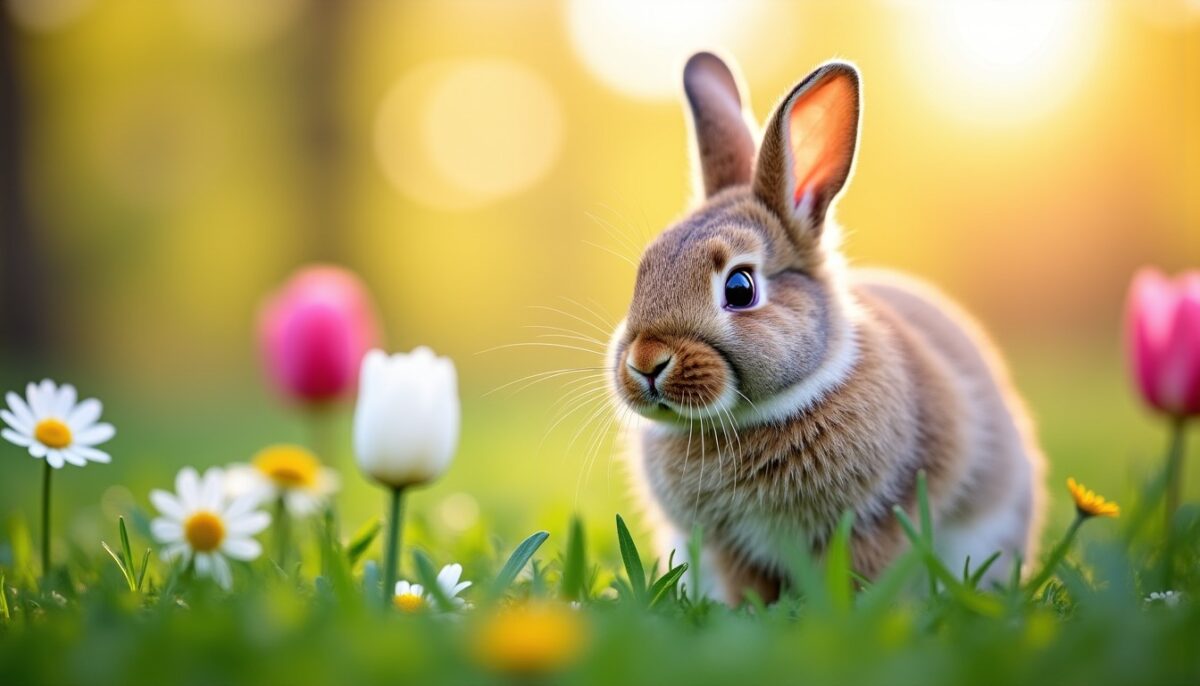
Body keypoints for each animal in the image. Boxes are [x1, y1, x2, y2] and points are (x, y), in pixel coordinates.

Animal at [607, 52, 1045, 604]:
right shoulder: (733, 548)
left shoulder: (878, 519)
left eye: (740, 288)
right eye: (644, 272)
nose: (646, 363)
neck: (753, 419)